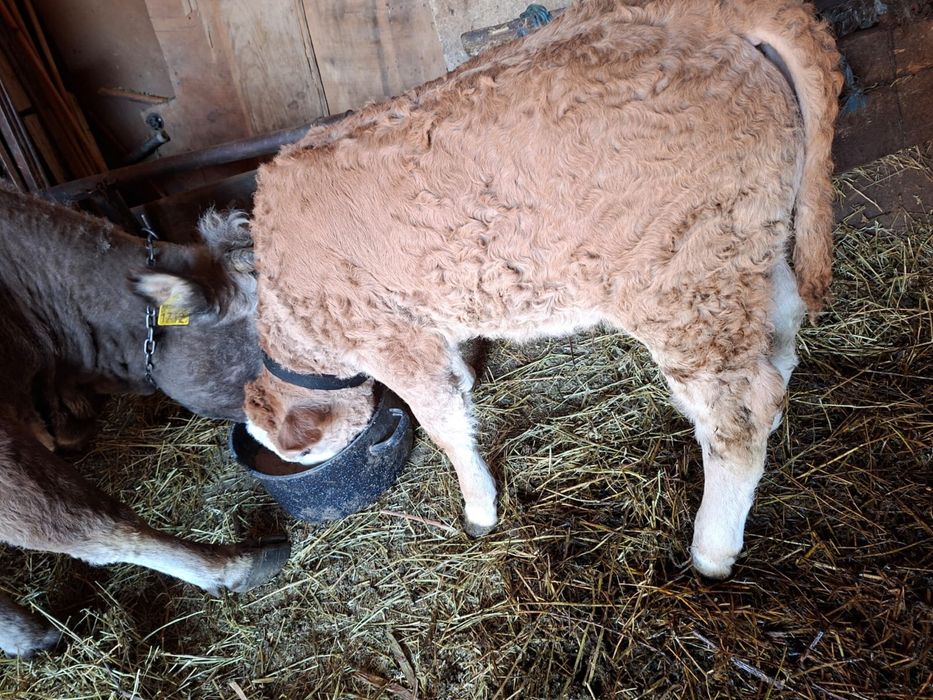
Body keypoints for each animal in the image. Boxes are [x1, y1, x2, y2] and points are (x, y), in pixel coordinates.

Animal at [242, 0, 842, 580]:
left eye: (302, 454)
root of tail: (705, 15)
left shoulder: (395, 340)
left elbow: (445, 428)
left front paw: (479, 509)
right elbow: (459, 385)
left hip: (680, 280)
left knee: (736, 413)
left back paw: (711, 551)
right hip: (743, 238)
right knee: (782, 323)